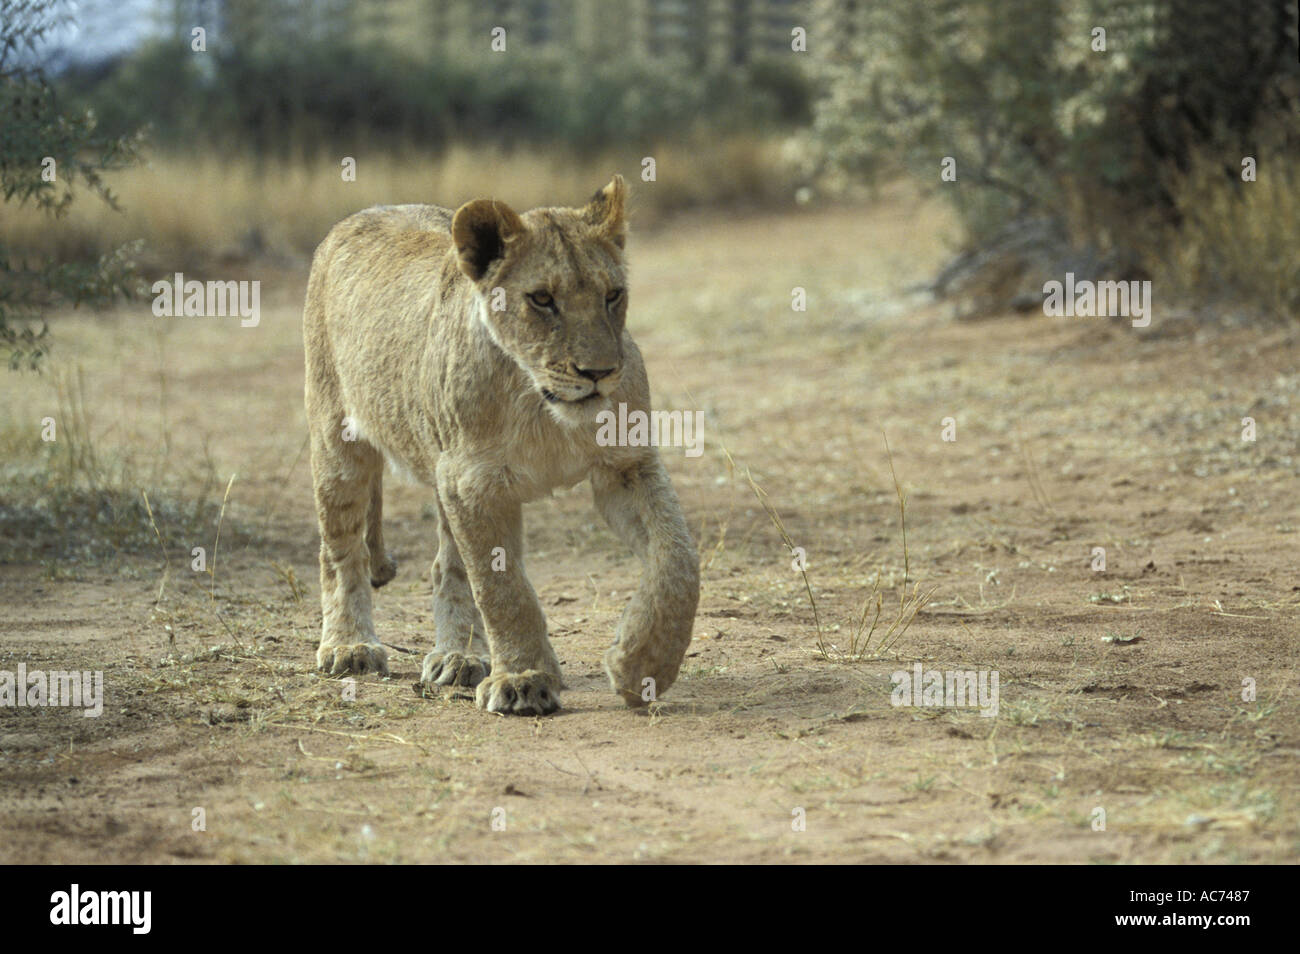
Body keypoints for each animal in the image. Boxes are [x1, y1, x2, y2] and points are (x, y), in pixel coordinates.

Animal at [302, 175, 700, 715]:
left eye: (613, 295)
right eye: (542, 299)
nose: (598, 373)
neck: (540, 405)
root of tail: (365, 212)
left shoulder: (626, 464)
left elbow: (678, 558)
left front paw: (642, 665)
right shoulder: (475, 483)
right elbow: (502, 589)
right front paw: (524, 679)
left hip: (440, 468)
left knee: (446, 565)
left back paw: (460, 658)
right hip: (338, 442)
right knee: (340, 551)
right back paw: (350, 647)